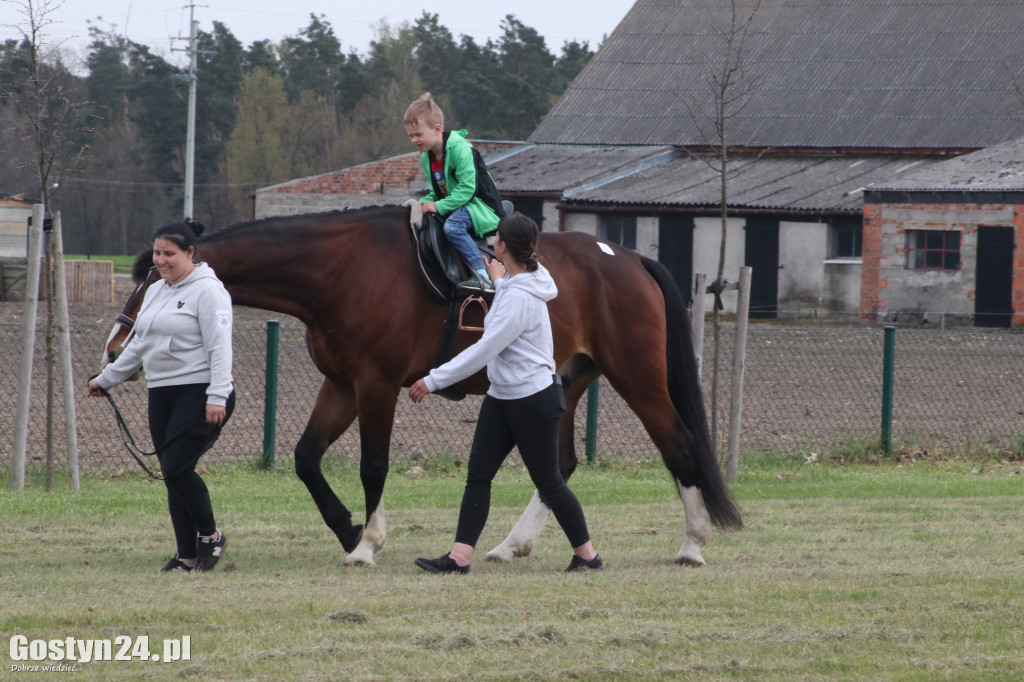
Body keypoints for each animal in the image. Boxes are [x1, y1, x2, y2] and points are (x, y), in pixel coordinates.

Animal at [103, 204, 741, 565]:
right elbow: (307, 457)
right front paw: (347, 529)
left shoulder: (375, 385)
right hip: (568, 380)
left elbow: (373, 466)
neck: (340, 270)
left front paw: (367, 544)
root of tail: (629, 257)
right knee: (558, 466)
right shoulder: (341, 385)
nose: (114, 348)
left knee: (679, 445)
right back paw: (512, 545)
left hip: (639, 379)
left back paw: (692, 545)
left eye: (154, 281)